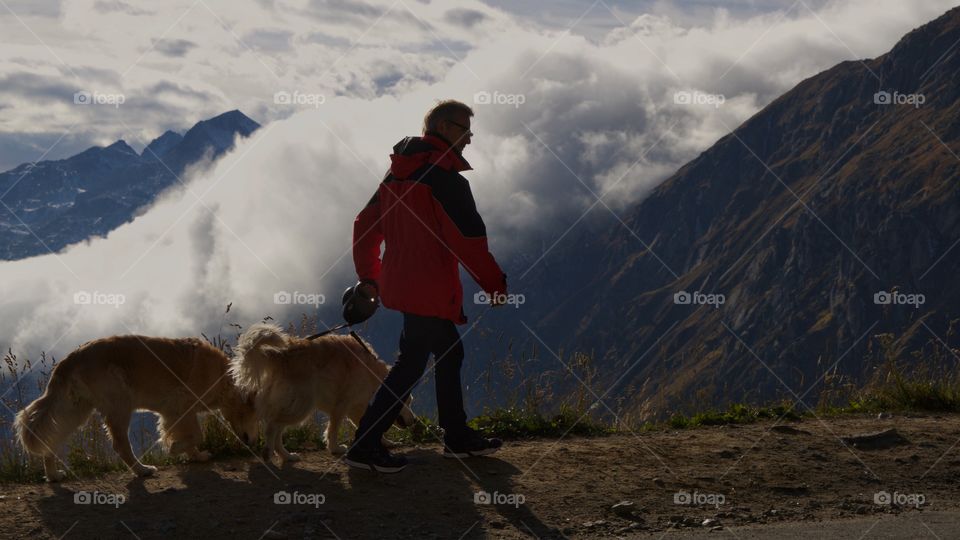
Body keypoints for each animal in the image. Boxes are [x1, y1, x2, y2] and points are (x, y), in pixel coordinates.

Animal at [15, 336, 262, 484]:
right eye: (257, 417)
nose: (253, 443)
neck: (222, 377)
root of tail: (71, 357)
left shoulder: (174, 412)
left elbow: (190, 435)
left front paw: (196, 456)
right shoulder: (180, 405)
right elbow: (195, 434)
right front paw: (174, 448)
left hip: (74, 410)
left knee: (51, 439)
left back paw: (52, 474)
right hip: (119, 403)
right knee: (120, 445)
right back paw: (142, 470)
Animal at [232, 322, 416, 466]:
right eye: (406, 402)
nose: (414, 421)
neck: (374, 378)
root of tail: (283, 355)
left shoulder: (357, 408)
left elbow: (371, 425)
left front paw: (385, 442)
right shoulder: (341, 406)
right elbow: (333, 430)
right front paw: (335, 449)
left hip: (293, 405)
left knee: (276, 428)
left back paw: (287, 456)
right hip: (301, 406)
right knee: (272, 426)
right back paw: (269, 453)